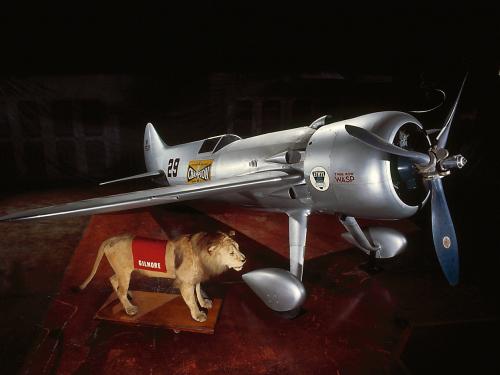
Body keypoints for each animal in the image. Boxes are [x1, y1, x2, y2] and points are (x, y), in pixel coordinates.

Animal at [77, 231, 246, 322]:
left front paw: (204, 303)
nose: (244, 259)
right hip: (124, 272)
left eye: (238, 247)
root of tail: (111, 239)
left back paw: (129, 296)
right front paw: (198, 315)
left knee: (113, 280)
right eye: (231, 253)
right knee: (120, 290)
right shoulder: (186, 283)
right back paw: (129, 308)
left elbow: (198, 292)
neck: (204, 258)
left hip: (122, 271)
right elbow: (191, 300)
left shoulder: (196, 278)